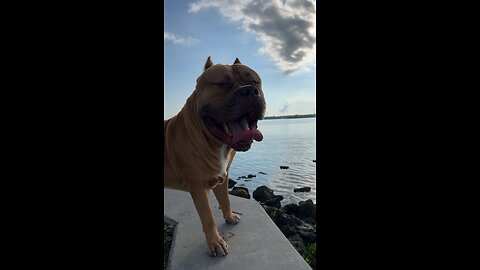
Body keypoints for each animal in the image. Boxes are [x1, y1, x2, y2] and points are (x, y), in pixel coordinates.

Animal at [163, 57, 264, 258]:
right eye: (222, 84)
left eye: (255, 81)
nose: (249, 90)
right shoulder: (198, 187)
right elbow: (208, 217)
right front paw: (215, 243)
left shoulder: (222, 176)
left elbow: (225, 200)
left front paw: (229, 217)